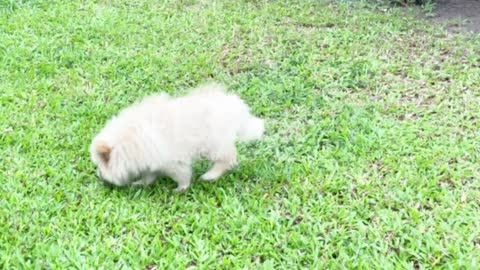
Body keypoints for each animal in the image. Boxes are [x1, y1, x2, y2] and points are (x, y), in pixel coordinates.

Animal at [88, 83, 264, 192]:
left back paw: (210, 175)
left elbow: (182, 175)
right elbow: (149, 176)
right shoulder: (151, 160)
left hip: (214, 145)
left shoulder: (171, 161)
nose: (99, 176)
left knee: (227, 159)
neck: (128, 143)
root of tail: (236, 108)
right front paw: (139, 183)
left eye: (101, 165)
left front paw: (181, 189)